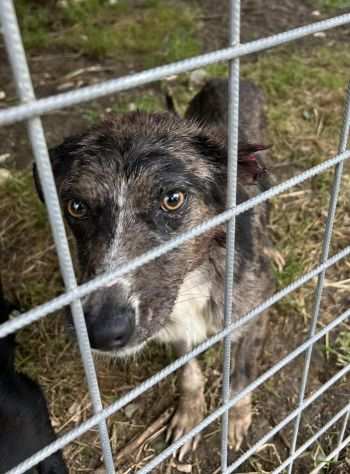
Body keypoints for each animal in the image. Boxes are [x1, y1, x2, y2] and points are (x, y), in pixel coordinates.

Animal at [33, 79, 274, 462]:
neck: (196, 277)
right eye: (76, 206)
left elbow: (241, 375)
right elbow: (189, 375)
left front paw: (235, 418)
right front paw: (189, 416)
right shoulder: (174, 328)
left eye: (173, 199)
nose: (102, 331)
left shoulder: (254, 316)